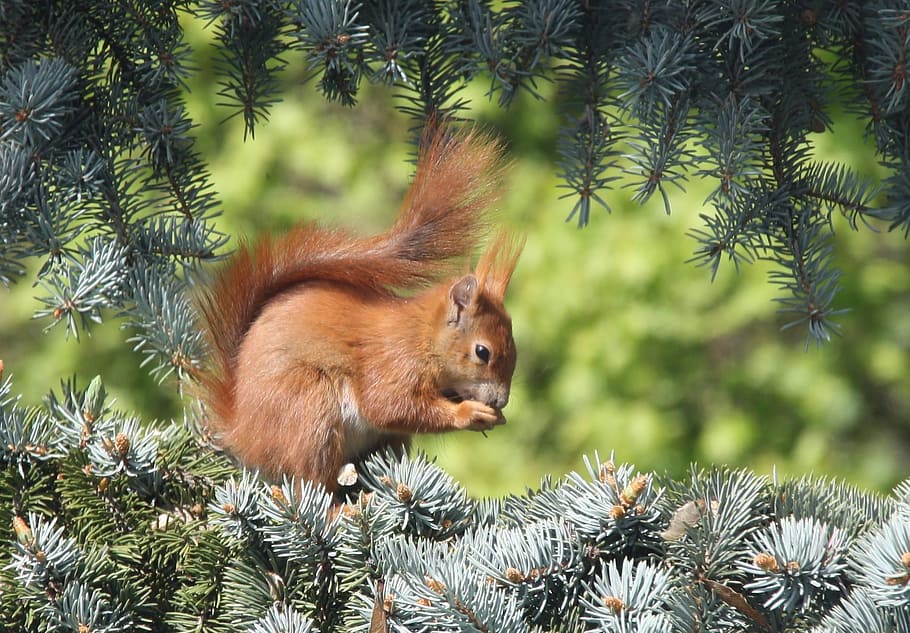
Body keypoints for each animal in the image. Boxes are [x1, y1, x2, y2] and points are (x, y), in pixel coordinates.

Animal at [196, 126, 522, 494]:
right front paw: (469, 414)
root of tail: (243, 433)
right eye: (482, 352)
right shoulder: (392, 363)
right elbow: (388, 406)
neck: (422, 337)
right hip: (310, 412)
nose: (501, 401)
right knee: (311, 482)